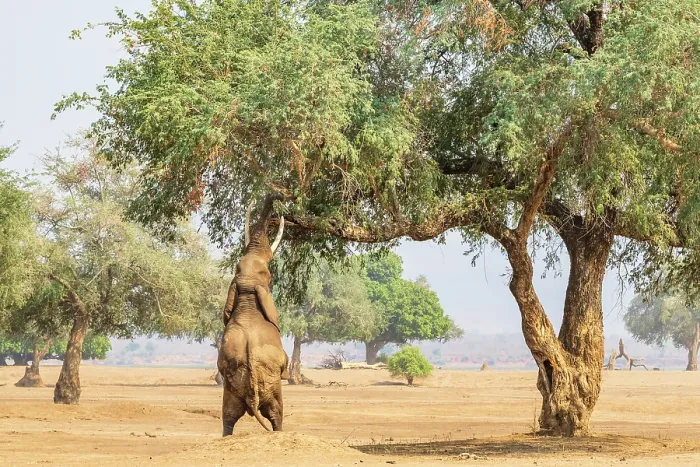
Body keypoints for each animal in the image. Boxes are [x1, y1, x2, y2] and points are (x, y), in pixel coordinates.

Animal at [217, 193, 289, 436]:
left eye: (237, 268)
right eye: (269, 275)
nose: (277, 197)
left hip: (232, 390)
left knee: (228, 416)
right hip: (271, 386)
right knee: (276, 414)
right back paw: (279, 433)